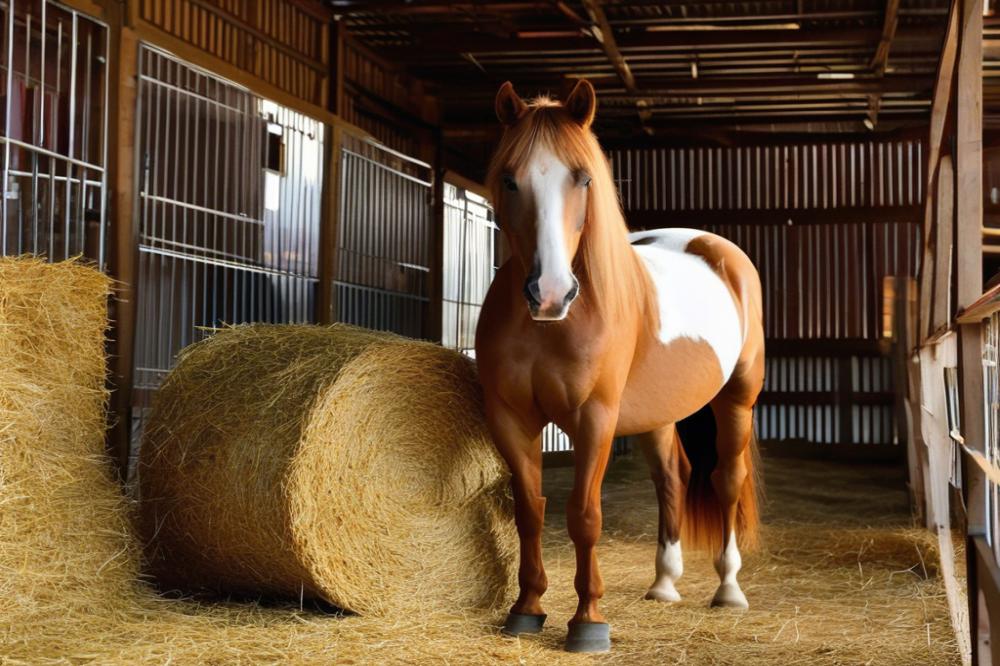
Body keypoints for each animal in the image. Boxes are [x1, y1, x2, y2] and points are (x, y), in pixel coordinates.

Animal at [474, 80, 764, 652]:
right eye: (510, 179)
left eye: (583, 177)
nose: (550, 293)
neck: (551, 326)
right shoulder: (510, 418)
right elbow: (530, 510)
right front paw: (527, 608)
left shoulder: (595, 417)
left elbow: (584, 515)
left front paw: (588, 621)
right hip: (658, 413)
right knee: (673, 479)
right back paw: (664, 583)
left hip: (736, 400)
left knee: (726, 478)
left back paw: (729, 589)